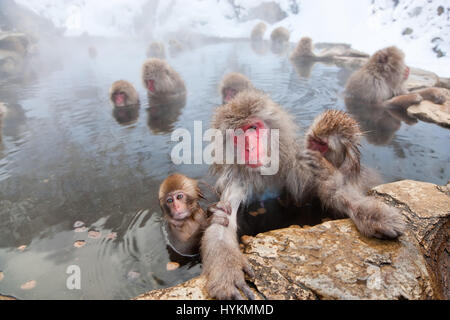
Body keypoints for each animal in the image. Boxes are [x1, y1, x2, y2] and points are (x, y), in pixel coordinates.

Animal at [201, 90, 404, 300]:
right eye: (238, 135)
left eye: (253, 128)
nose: (249, 147)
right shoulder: (238, 182)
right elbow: (222, 224)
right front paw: (228, 272)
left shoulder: (298, 167)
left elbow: (333, 194)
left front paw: (374, 215)